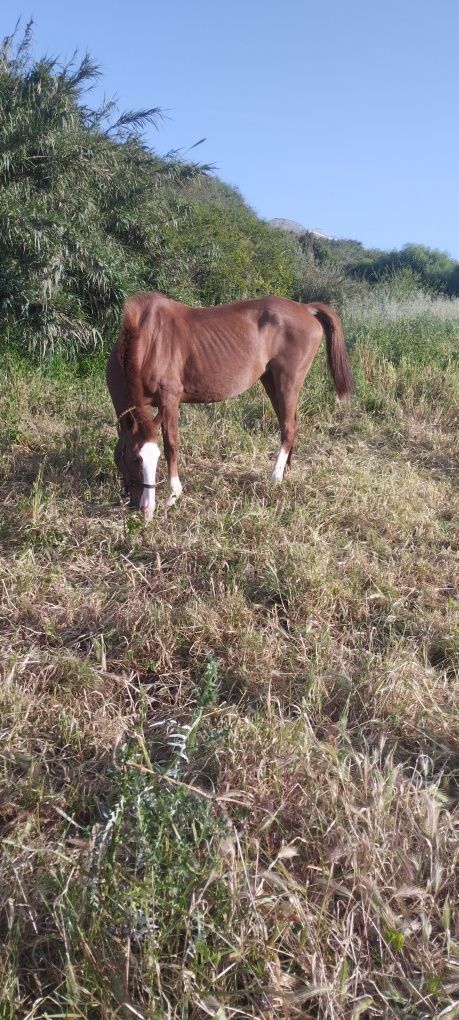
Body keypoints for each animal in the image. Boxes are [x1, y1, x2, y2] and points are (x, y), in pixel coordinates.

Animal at [105, 293, 352, 518]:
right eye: (135, 458)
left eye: (153, 459)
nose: (146, 509)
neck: (149, 339)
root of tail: (306, 308)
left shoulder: (170, 401)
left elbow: (171, 445)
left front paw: (173, 495)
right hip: (271, 382)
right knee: (290, 423)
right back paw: (285, 470)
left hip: (288, 383)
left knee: (289, 428)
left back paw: (275, 477)